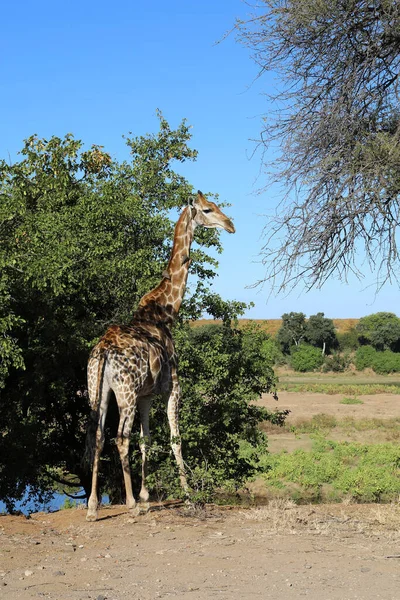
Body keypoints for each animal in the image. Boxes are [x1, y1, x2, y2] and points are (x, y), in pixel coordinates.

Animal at [85, 190, 234, 516]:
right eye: (208, 209)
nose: (230, 225)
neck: (166, 313)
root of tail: (103, 351)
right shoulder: (172, 386)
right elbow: (175, 438)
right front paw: (187, 496)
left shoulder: (146, 395)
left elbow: (147, 439)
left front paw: (145, 495)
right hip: (124, 393)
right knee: (120, 437)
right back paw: (128, 505)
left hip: (98, 390)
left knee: (98, 436)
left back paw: (92, 507)